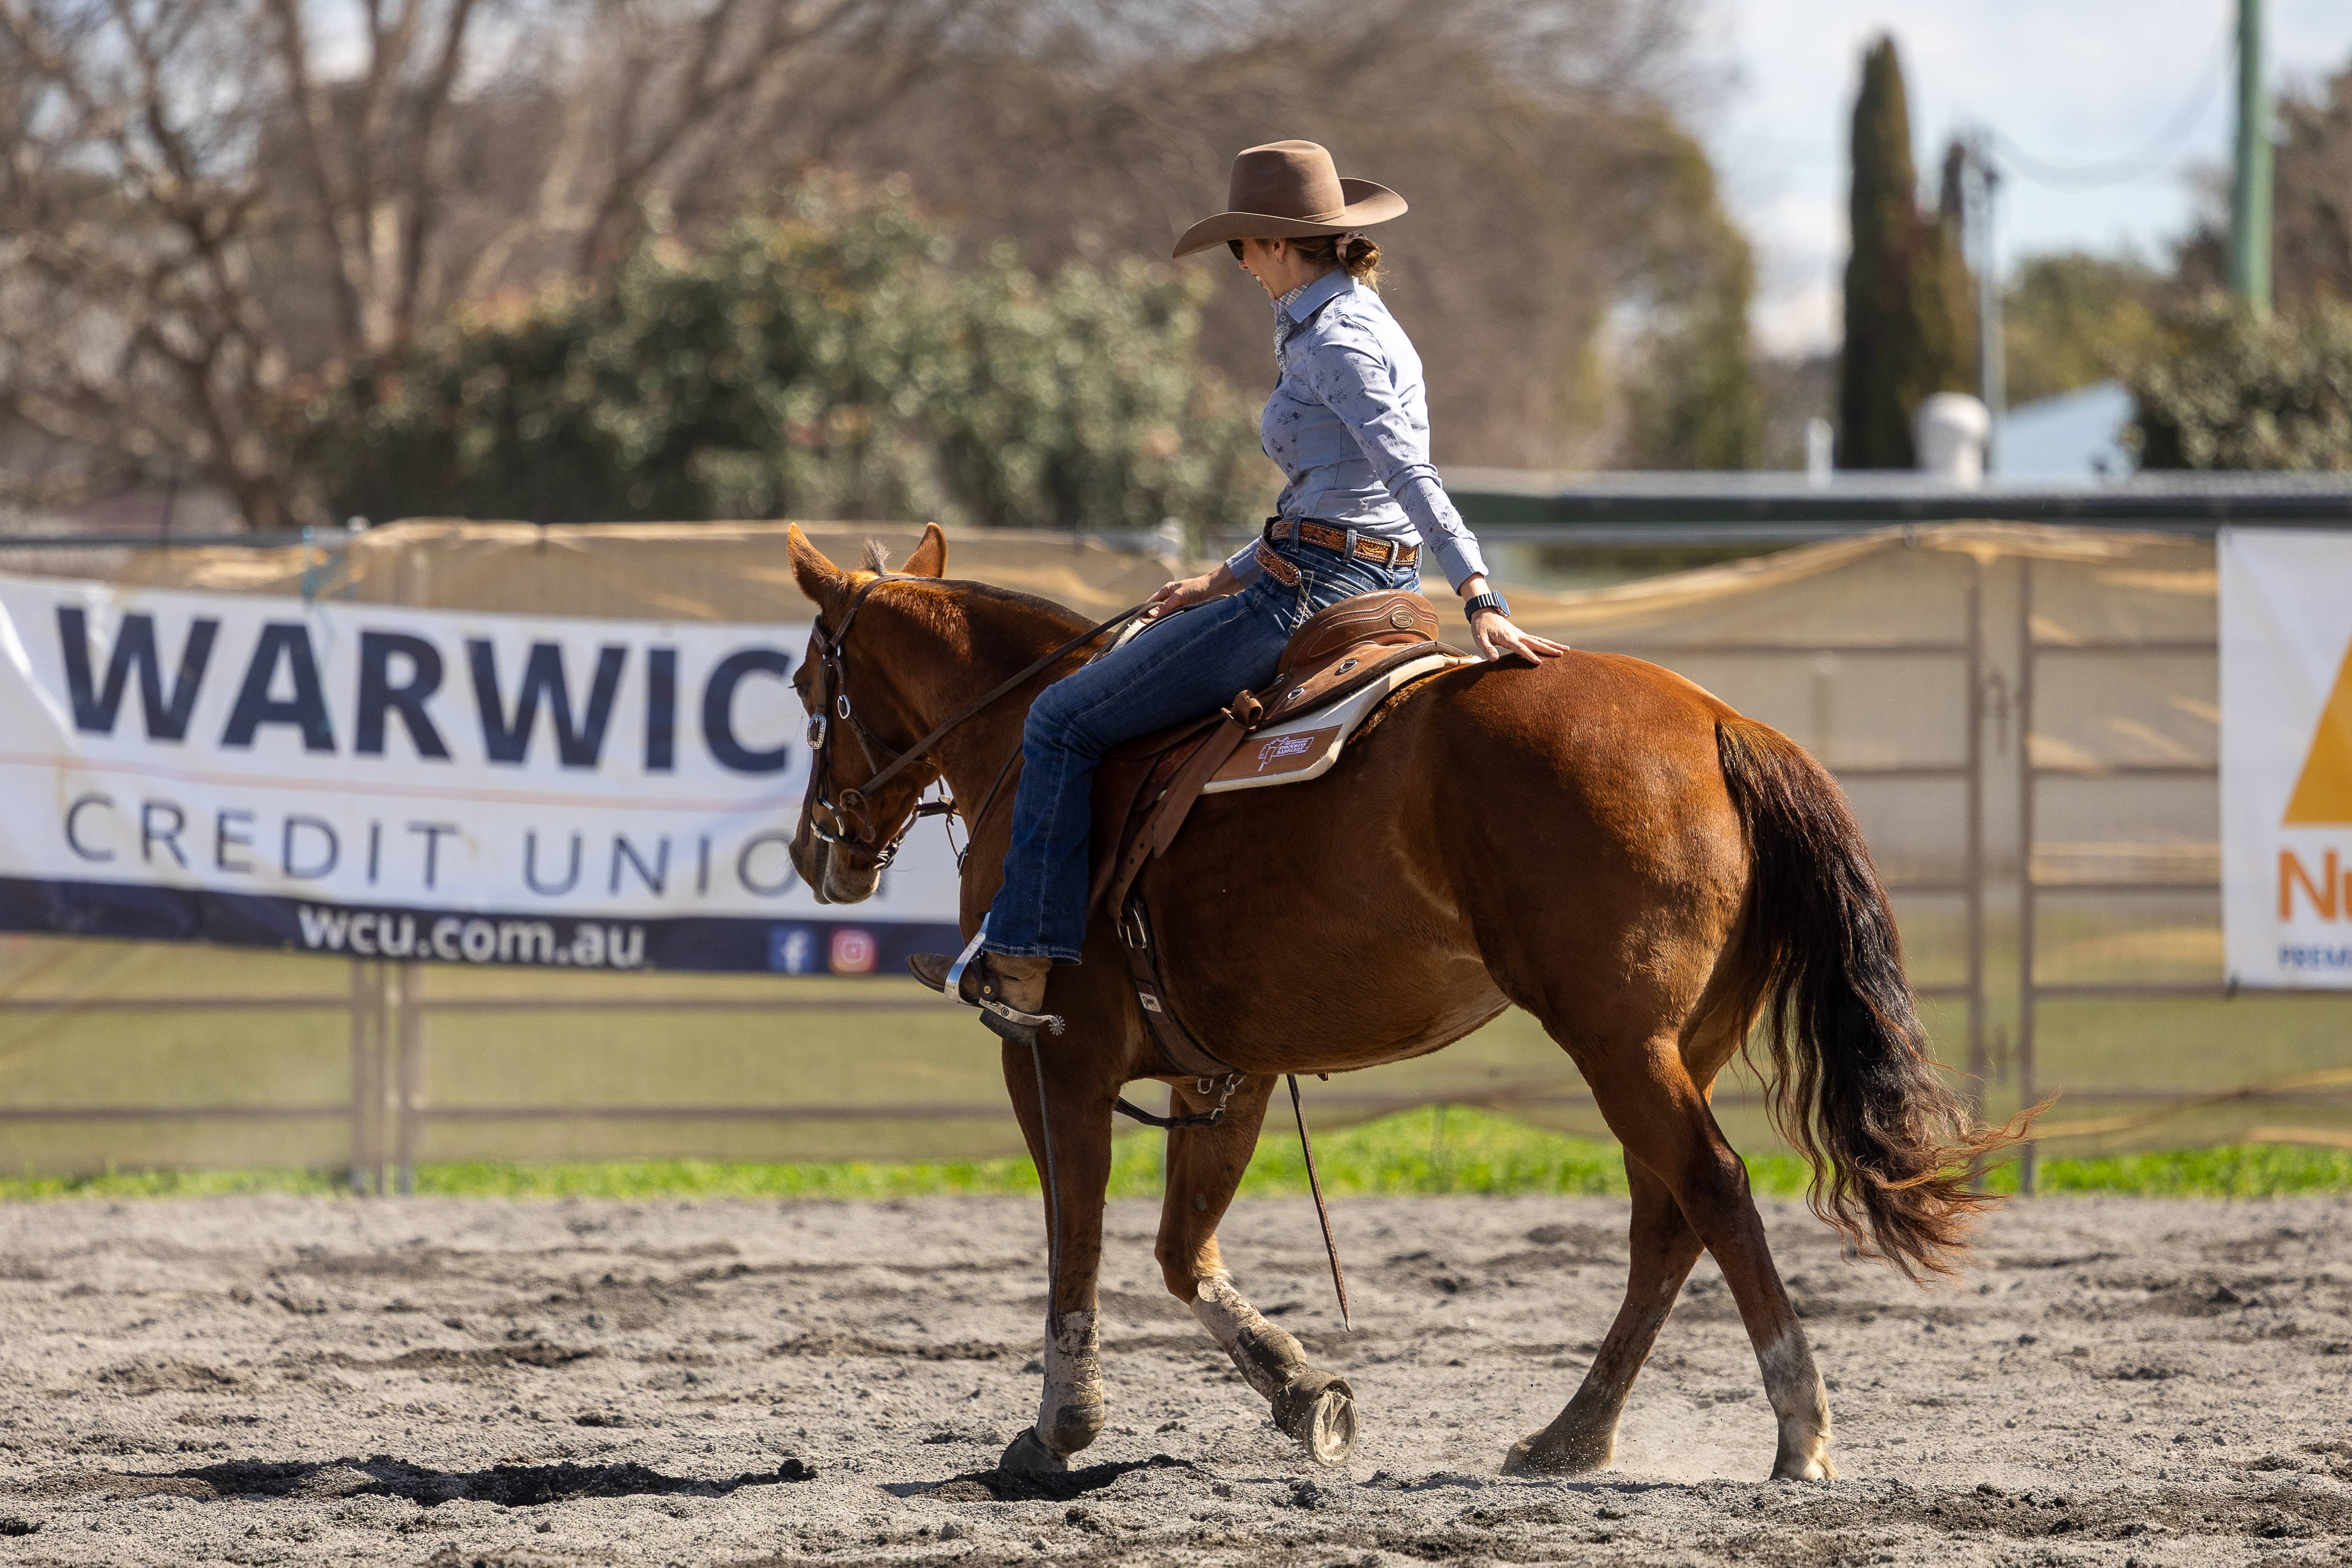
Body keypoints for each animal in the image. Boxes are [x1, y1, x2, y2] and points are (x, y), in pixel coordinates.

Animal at [783, 521, 2024, 1483]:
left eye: (805, 689)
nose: (814, 852)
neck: (1036, 739)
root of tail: (1724, 725)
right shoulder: (1225, 1068)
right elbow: (1185, 1252)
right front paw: (1303, 1393)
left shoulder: (1053, 1058)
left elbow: (1075, 1241)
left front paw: (1059, 1429)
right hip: (1680, 1041)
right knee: (1666, 1219)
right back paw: (1571, 1436)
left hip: (1617, 1040)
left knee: (1712, 1191)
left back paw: (1797, 1431)